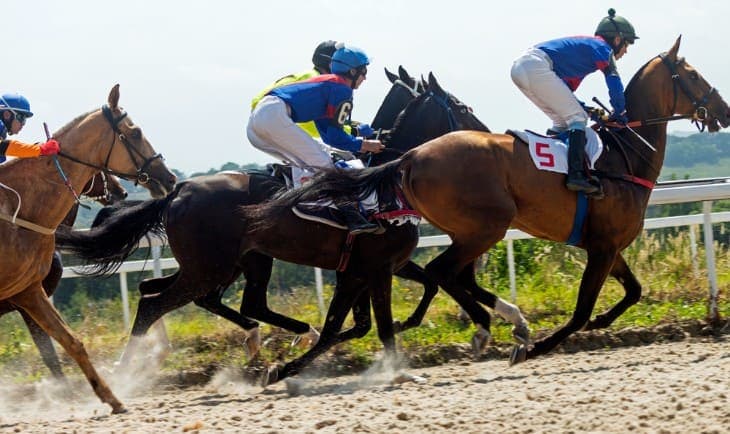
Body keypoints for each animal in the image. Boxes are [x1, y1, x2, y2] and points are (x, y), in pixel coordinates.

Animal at [54, 74, 493, 384]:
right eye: (462, 105)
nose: (488, 132)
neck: (385, 180)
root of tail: (178, 191)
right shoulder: (376, 266)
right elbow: (371, 324)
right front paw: (398, 369)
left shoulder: (365, 268)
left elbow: (375, 314)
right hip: (213, 267)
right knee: (157, 303)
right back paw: (127, 374)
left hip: (226, 264)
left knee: (170, 293)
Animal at [304, 37, 730, 365]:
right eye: (693, 75)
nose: (723, 111)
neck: (625, 155)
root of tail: (409, 156)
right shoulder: (604, 247)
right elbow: (581, 311)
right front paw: (537, 346)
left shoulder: (608, 245)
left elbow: (634, 291)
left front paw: (600, 324)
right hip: (488, 226)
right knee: (443, 272)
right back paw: (482, 326)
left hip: (469, 230)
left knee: (452, 276)